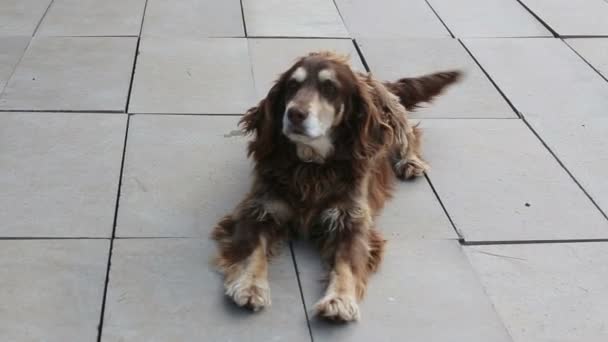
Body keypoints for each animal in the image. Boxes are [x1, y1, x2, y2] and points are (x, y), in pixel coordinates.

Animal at [211, 50, 458, 320]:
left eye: (329, 88)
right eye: (292, 86)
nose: (294, 113)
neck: (311, 166)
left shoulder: (351, 219)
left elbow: (347, 263)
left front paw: (339, 299)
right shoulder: (260, 207)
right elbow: (252, 250)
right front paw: (251, 285)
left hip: (390, 108)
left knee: (408, 131)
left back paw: (410, 160)